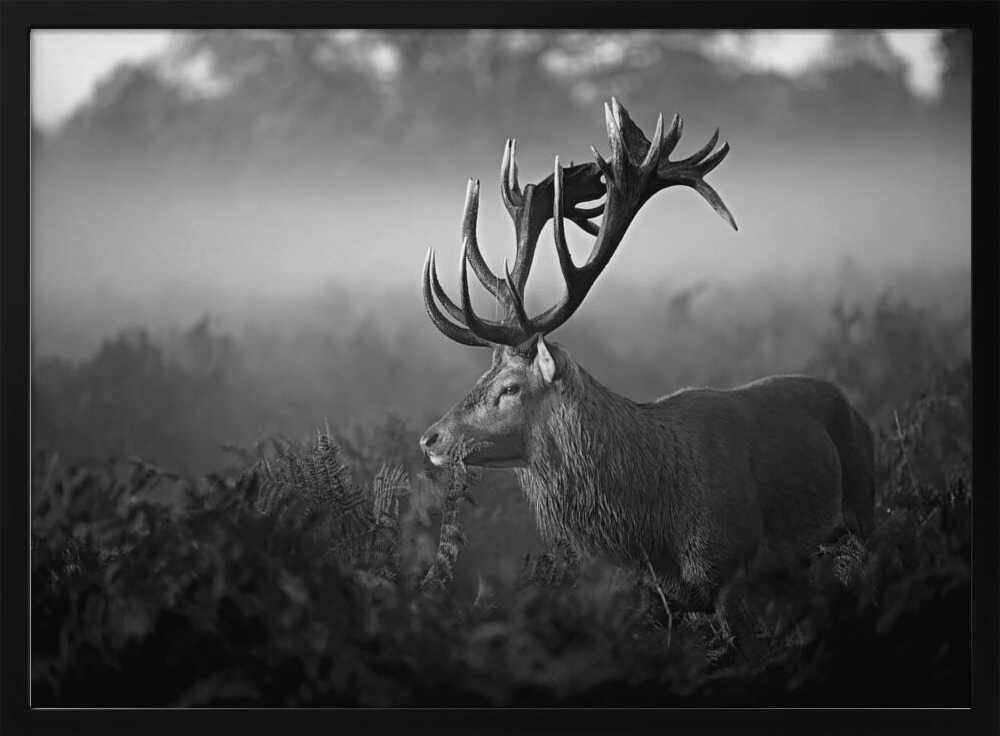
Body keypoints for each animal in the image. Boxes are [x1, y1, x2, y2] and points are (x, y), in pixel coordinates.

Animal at [418, 98, 876, 614]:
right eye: (483, 375)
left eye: (511, 387)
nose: (431, 439)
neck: (657, 529)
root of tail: (856, 410)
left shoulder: (727, 568)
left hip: (864, 510)